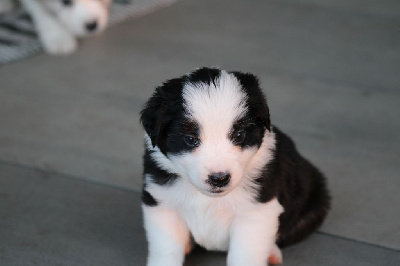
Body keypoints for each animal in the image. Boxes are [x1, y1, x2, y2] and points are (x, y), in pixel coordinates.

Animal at [139, 67, 330, 264]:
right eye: (190, 139)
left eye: (239, 135)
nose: (220, 179)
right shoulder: (163, 206)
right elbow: (166, 251)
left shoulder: (255, 213)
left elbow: (245, 256)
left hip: (315, 204)